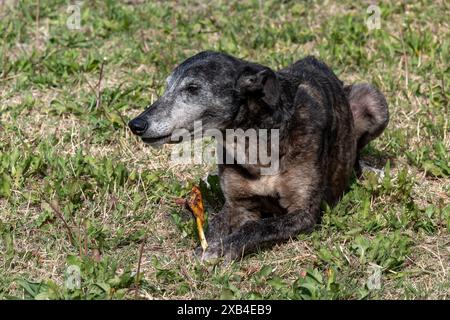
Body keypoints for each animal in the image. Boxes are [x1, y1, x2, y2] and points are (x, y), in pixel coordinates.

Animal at [127, 50, 386, 260]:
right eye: (167, 87)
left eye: (192, 88)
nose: (136, 124)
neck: (256, 140)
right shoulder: (238, 205)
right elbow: (216, 224)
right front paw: (207, 245)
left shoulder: (303, 213)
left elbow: (256, 228)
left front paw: (221, 250)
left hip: (373, 100)